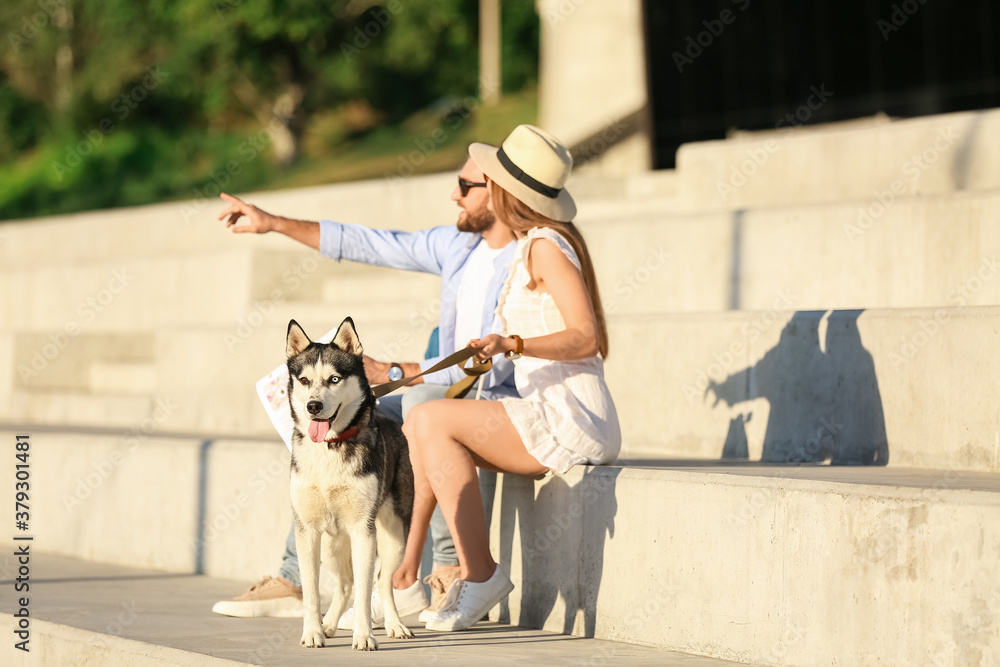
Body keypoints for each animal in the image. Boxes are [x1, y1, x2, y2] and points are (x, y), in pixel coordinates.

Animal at [286, 318, 414, 652]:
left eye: (334, 379)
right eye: (304, 380)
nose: (313, 406)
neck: (330, 446)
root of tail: (394, 423)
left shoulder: (363, 530)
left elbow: (366, 589)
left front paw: (364, 636)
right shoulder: (307, 530)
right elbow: (312, 591)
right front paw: (313, 632)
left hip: (395, 536)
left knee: (382, 580)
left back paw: (394, 625)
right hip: (331, 544)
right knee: (345, 584)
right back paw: (328, 625)